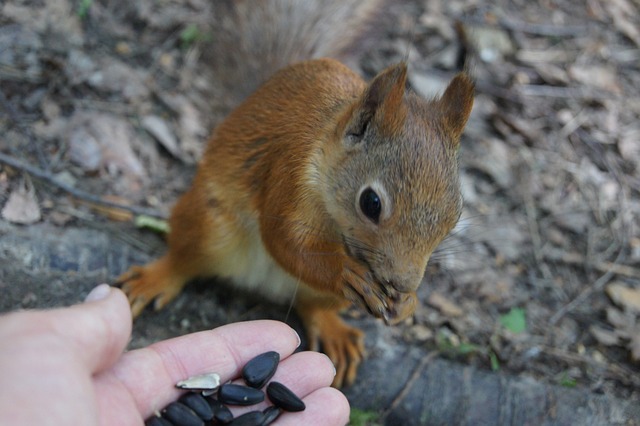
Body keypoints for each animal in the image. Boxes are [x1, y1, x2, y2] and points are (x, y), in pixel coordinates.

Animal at [119, 0, 476, 386]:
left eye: (455, 214)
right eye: (371, 203)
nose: (403, 281)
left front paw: (409, 303)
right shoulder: (288, 174)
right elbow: (283, 241)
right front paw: (344, 272)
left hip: (327, 297)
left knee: (311, 305)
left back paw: (334, 331)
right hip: (208, 223)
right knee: (186, 259)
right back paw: (155, 278)